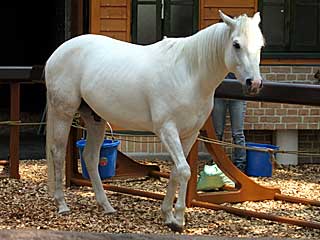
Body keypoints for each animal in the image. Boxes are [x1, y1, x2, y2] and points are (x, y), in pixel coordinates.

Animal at [45, 11, 264, 232]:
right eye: (236, 44)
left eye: (261, 45)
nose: (254, 83)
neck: (189, 73)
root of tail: (57, 53)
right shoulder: (167, 130)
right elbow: (184, 171)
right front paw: (179, 220)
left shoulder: (189, 134)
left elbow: (176, 171)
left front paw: (168, 215)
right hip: (63, 113)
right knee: (58, 153)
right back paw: (62, 204)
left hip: (95, 120)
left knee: (90, 157)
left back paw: (106, 206)